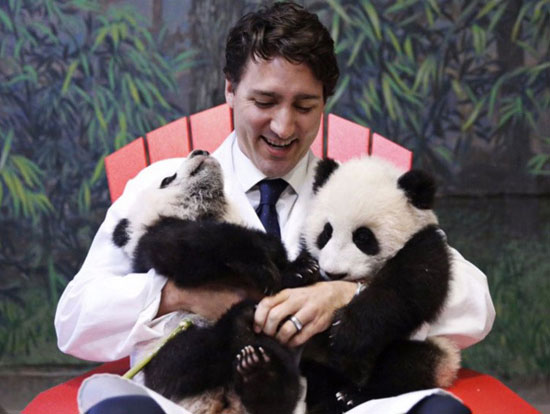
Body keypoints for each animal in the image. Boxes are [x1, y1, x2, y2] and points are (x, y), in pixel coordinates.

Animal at [111, 150, 320, 414]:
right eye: (167, 179)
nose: (199, 151)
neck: (207, 210)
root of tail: (220, 403)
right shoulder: (156, 239)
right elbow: (198, 244)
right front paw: (264, 263)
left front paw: (301, 269)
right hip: (164, 344)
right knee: (186, 357)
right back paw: (239, 323)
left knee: (284, 384)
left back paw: (260, 377)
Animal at [302, 157, 462, 412]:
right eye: (326, 232)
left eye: (363, 237)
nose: (334, 273)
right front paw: (302, 270)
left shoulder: (425, 247)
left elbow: (403, 292)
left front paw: (346, 328)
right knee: (315, 371)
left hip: (438, 353)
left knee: (405, 365)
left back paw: (354, 396)